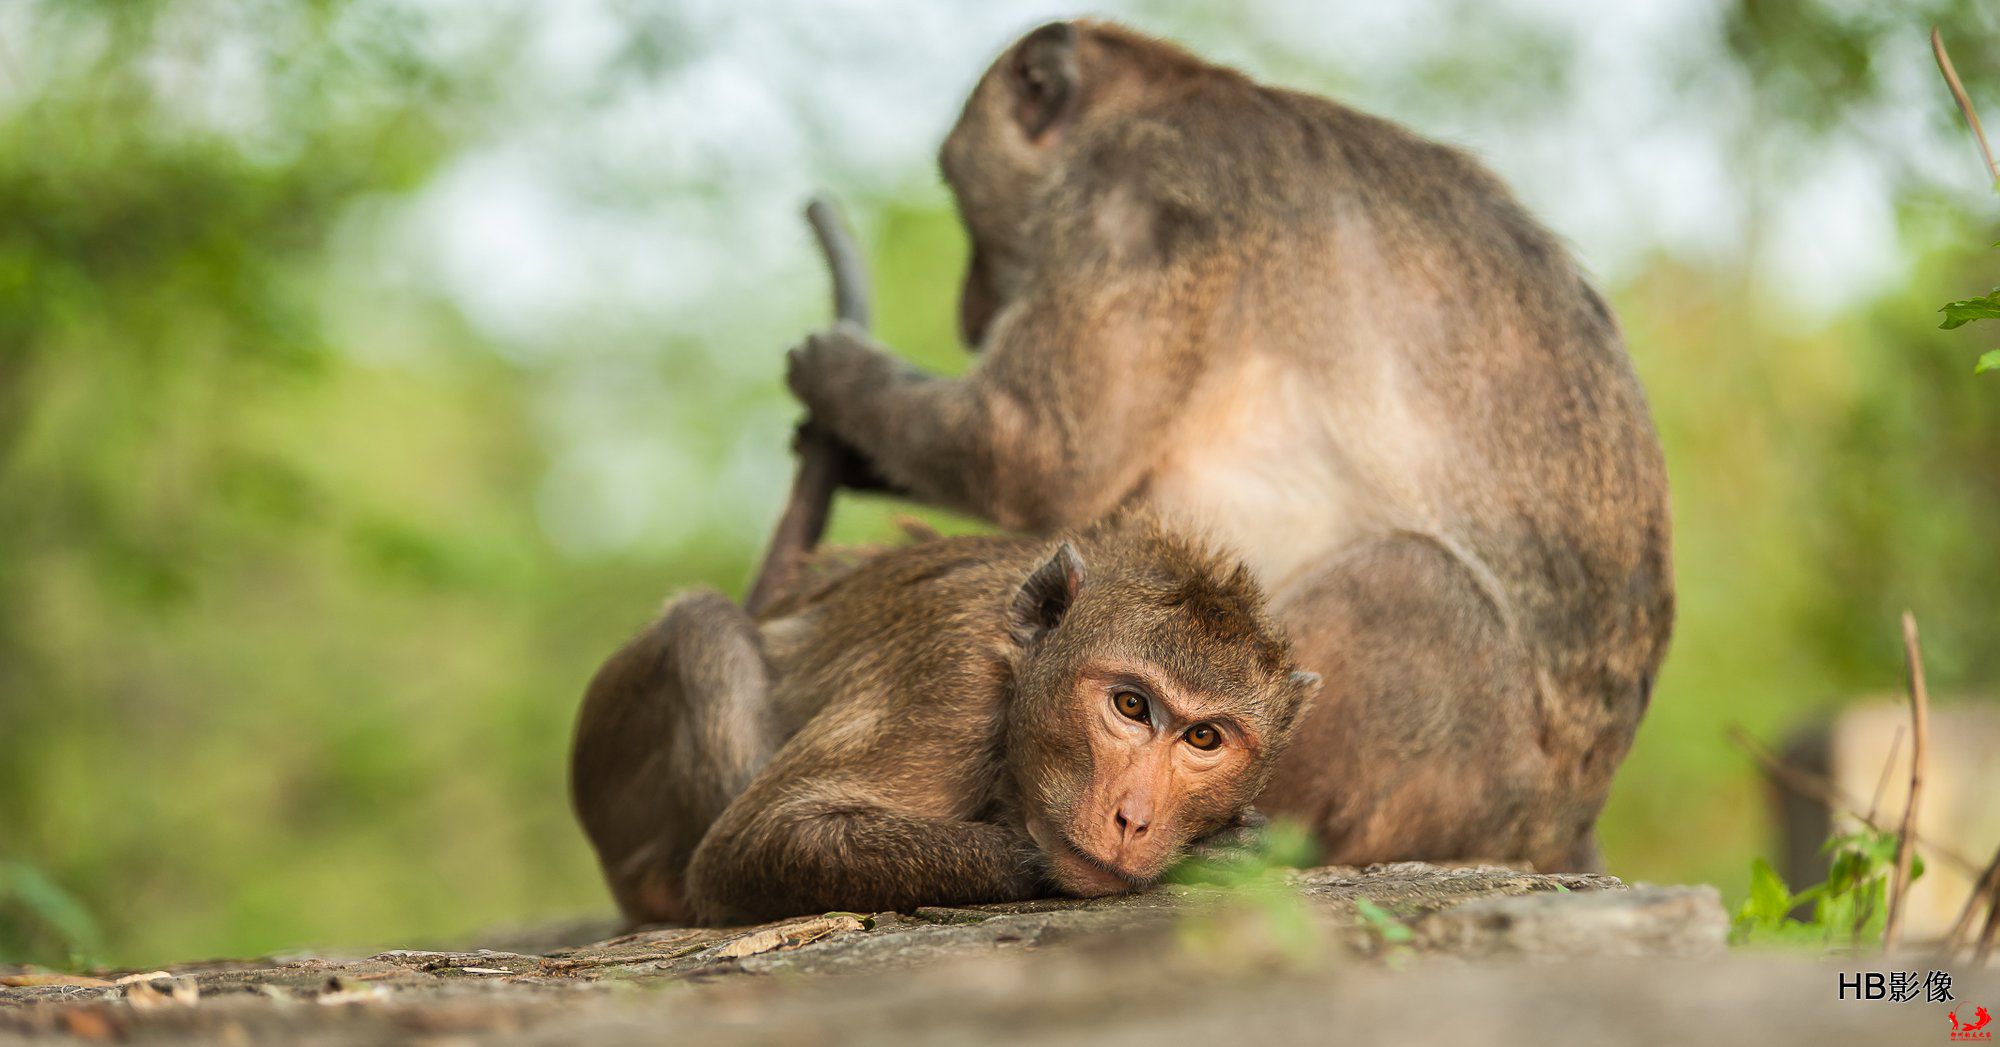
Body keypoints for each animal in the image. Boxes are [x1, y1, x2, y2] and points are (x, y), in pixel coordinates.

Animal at [568, 515, 1312, 923]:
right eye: (1131, 705)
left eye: (1203, 736)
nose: (1134, 817)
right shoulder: (950, 682)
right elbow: (751, 843)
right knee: (703, 625)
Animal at [780, 20, 1672, 871]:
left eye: (966, 205)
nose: (970, 308)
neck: (1173, 90)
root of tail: (1566, 823)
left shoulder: (1133, 193)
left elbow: (1031, 458)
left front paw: (833, 372)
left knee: (1411, 583)